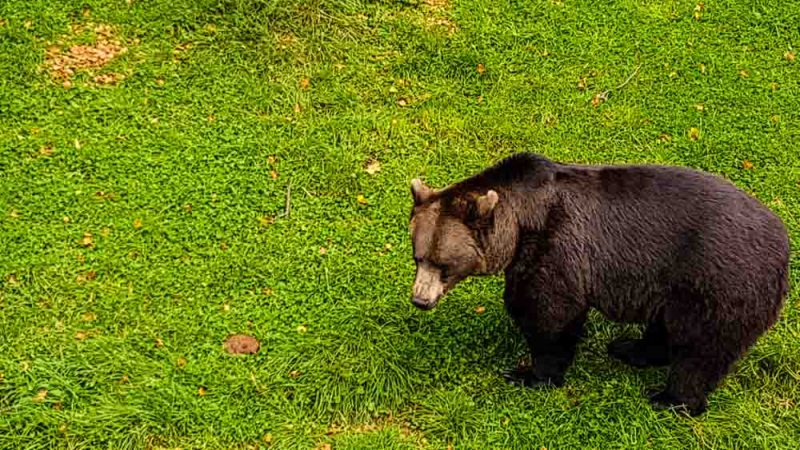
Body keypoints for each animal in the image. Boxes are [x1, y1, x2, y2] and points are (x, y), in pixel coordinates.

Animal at [410, 154, 792, 414]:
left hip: (718, 281)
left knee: (700, 349)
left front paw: (530, 374)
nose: (420, 299)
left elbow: (550, 313)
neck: (520, 224)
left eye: (443, 264)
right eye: (417, 256)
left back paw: (671, 398)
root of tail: (784, 248)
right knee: (665, 326)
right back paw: (630, 349)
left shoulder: (557, 245)